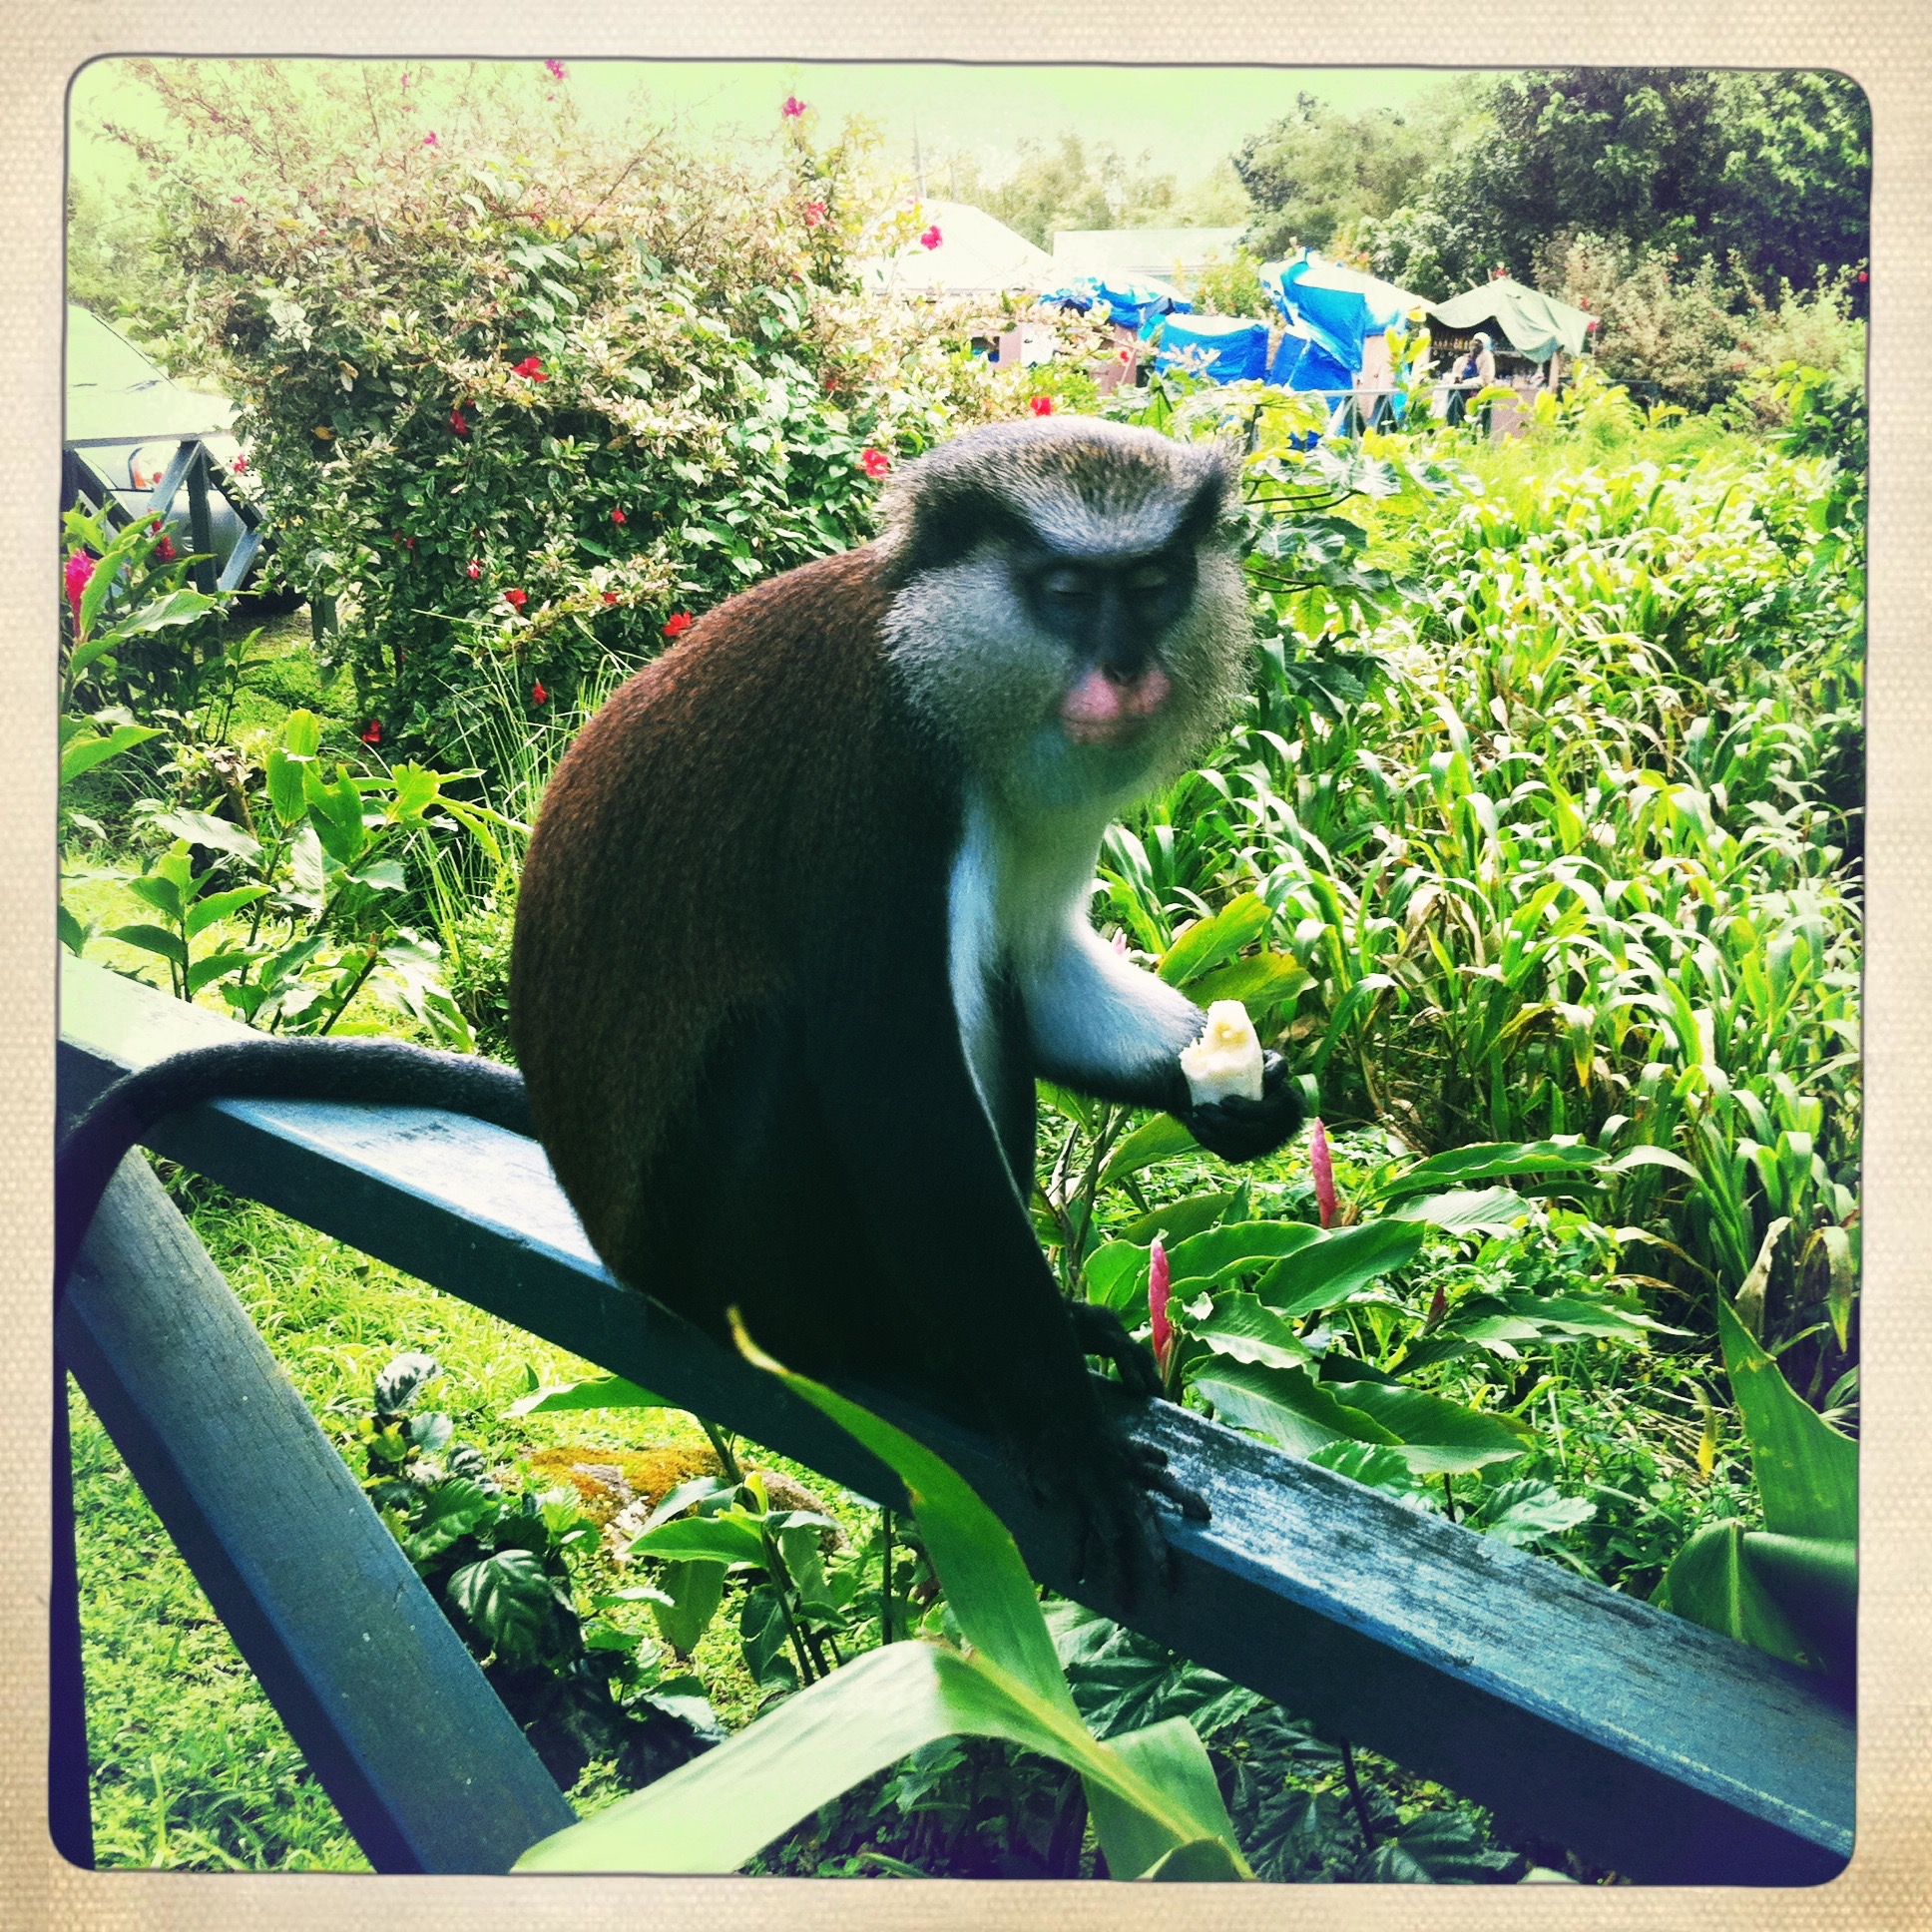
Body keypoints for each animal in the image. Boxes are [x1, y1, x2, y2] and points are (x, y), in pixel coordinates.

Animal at [57, 416, 1304, 1600]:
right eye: (1065, 591)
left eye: (1151, 584)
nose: (1128, 671)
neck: (944, 675)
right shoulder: (874, 794)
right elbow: (897, 1089)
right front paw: (1061, 1427)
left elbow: (1037, 970)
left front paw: (1242, 1096)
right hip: (710, 1241)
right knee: (791, 1047)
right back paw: (914, 1352)